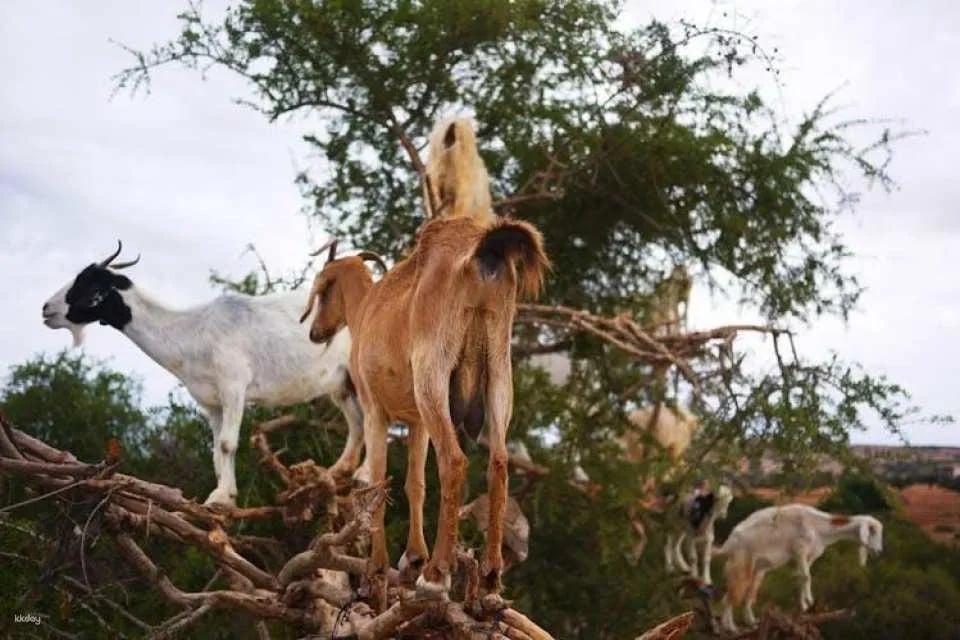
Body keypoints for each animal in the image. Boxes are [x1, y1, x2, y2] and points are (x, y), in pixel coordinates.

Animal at [42, 242, 365, 506]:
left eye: (90, 285)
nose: (46, 309)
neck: (192, 331)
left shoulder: (234, 386)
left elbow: (227, 443)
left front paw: (221, 500)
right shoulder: (211, 402)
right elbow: (215, 452)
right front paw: (224, 494)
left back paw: (361, 475)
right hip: (341, 384)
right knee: (357, 422)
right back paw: (341, 472)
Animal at [301, 215, 549, 605]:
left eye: (323, 291)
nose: (315, 332)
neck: (368, 307)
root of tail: (484, 251)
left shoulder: (374, 409)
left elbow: (376, 481)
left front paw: (378, 567)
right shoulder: (416, 421)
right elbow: (414, 483)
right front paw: (412, 557)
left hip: (433, 373)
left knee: (454, 460)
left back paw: (436, 575)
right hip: (499, 376)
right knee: (498, 463)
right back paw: (490, 579)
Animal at [715, 503, 883, 631]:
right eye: (872, 531)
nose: (879, 551)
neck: (818, 527)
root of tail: (728, 544)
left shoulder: (809, 556)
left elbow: (802, 578)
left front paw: (804, 606)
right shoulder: (799, 550)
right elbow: (806, 577)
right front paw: (809, 601)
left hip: (757, 569)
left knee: (747, 593)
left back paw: (750, 623)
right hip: (741, 564)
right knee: (731, 595)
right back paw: (730, 627)